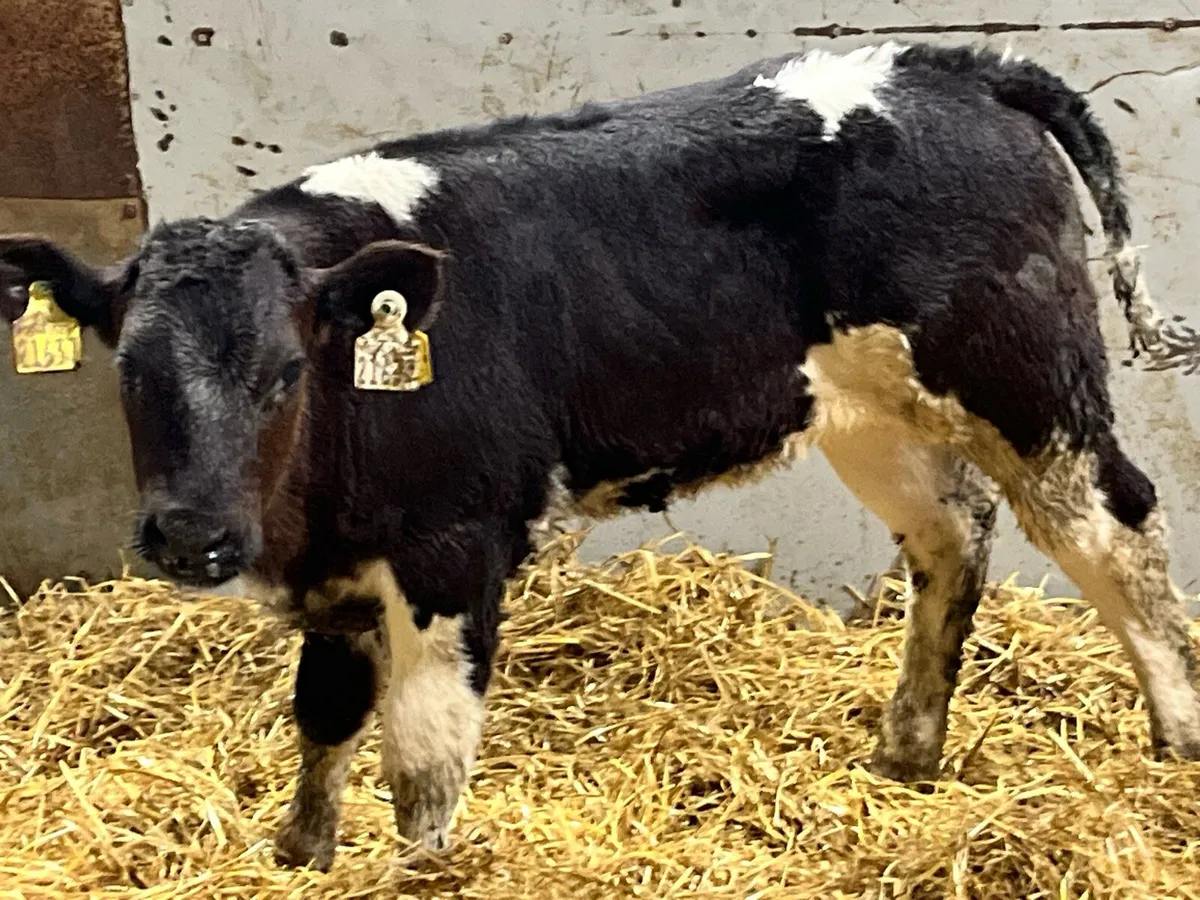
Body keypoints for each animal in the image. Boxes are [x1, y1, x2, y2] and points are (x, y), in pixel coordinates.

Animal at [3, 42, 1199, 871]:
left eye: (288, 373)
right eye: (128, 373)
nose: (192, 537)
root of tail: (954, 64)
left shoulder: (452, 549)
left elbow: (422, 757)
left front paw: (415, 870)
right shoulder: (337, 573)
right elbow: (325, 716)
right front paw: (303, 857)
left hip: (1026, 378)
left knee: (1118, 528)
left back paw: (1177, 740)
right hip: (869, 413)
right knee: (953, 537)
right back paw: (906, 756)